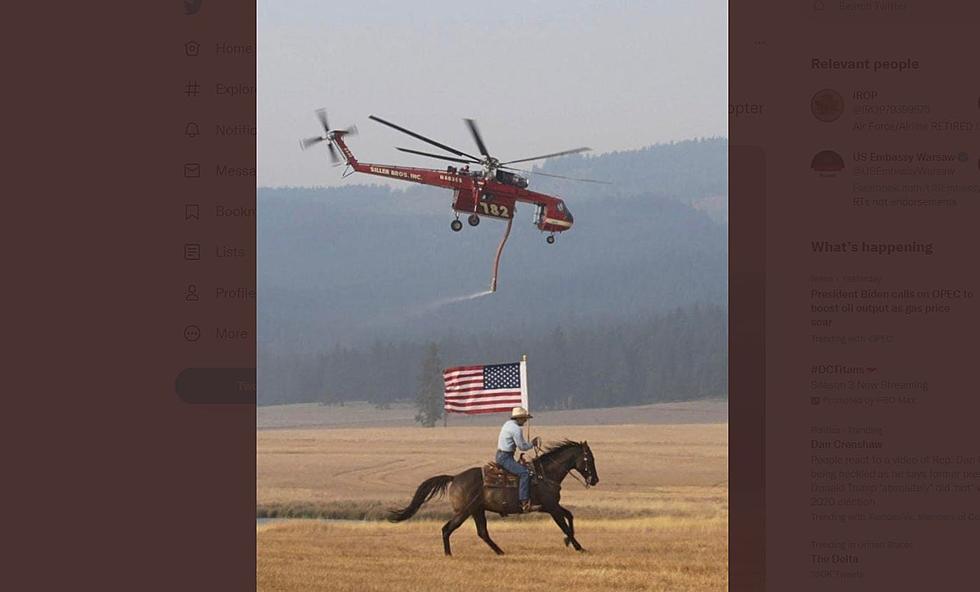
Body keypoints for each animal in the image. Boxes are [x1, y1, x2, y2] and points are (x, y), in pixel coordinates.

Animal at [386, 440, 592, 556]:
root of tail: (455, 477)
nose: (595, 479)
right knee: (447, 529)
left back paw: (499, 551)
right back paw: (448, 554)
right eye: (589, 459)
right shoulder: (550, 506)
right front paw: (578, 546)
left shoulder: (548, 506)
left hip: (477, 510)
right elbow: (564, 523)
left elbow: (569, 516)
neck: (545, 474)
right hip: (465, 511)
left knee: (482, 532)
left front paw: (568, 542)